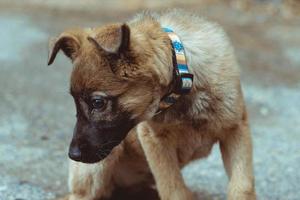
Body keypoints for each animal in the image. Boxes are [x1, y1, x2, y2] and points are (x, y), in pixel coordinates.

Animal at [48, 9, 255, 200]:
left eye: (97, 103)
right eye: (75, 102)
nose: (72, 155)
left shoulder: (235, 129)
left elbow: (242, 185)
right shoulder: (155, 140)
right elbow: (173, 190)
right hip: (99, 165)